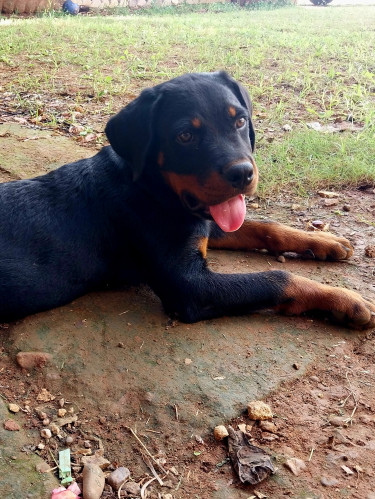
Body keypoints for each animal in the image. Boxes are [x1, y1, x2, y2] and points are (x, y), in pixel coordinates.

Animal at [0, 71, 375, 328]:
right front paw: (346, 300)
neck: (151, 189)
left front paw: (324, 241)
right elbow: (276, 278)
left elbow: (268, 227)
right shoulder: (189, 286)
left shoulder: (208, 221)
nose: (243, 174)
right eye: (185, 136)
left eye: (240, 120)